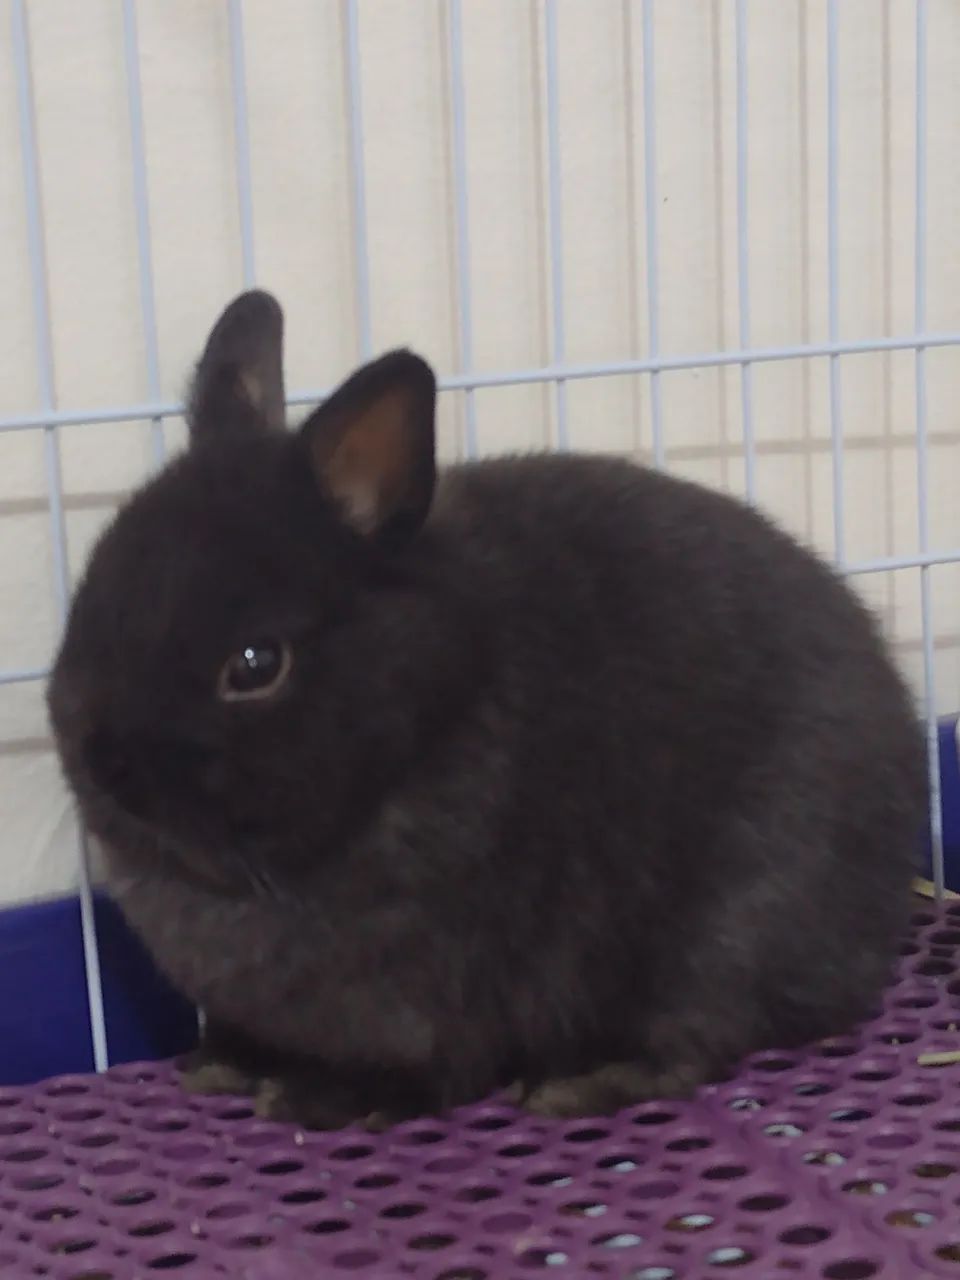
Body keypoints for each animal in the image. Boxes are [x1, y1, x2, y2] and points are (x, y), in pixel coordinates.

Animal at [47, 289, 925, 1131]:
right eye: (90, 600)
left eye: (256, 664)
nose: (103, 760)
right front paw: (223, 1060)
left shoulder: (441, 980)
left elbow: (435, 1058)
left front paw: (326, 1099)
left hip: (731, 919)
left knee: (699, 1035)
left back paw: (583, 1081)